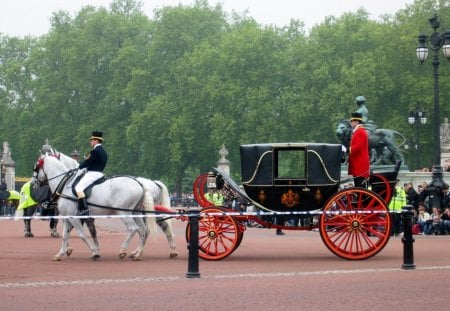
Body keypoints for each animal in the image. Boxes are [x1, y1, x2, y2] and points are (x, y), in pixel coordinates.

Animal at [41, 147, 177, 260]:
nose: (38, 183)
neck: (69, 183)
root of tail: (148, 183)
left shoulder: (76, 215)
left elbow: (82, 233)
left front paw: (83, 250)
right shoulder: (86, 217)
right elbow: (90, 233)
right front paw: (92, 250)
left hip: (129, 213)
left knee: (143, 229)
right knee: (147, 229)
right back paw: (143, 252)